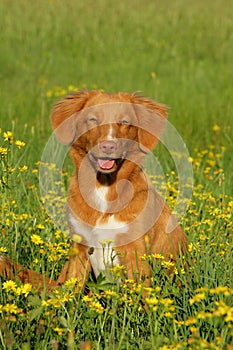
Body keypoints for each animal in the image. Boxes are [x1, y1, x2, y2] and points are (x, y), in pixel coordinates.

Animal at [0, 90, 187, 290]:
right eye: (93, 119)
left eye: (124, 122)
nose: (108, 146)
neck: (104, 187)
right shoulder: (80, 247)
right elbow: (72, 290)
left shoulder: (134, 250)